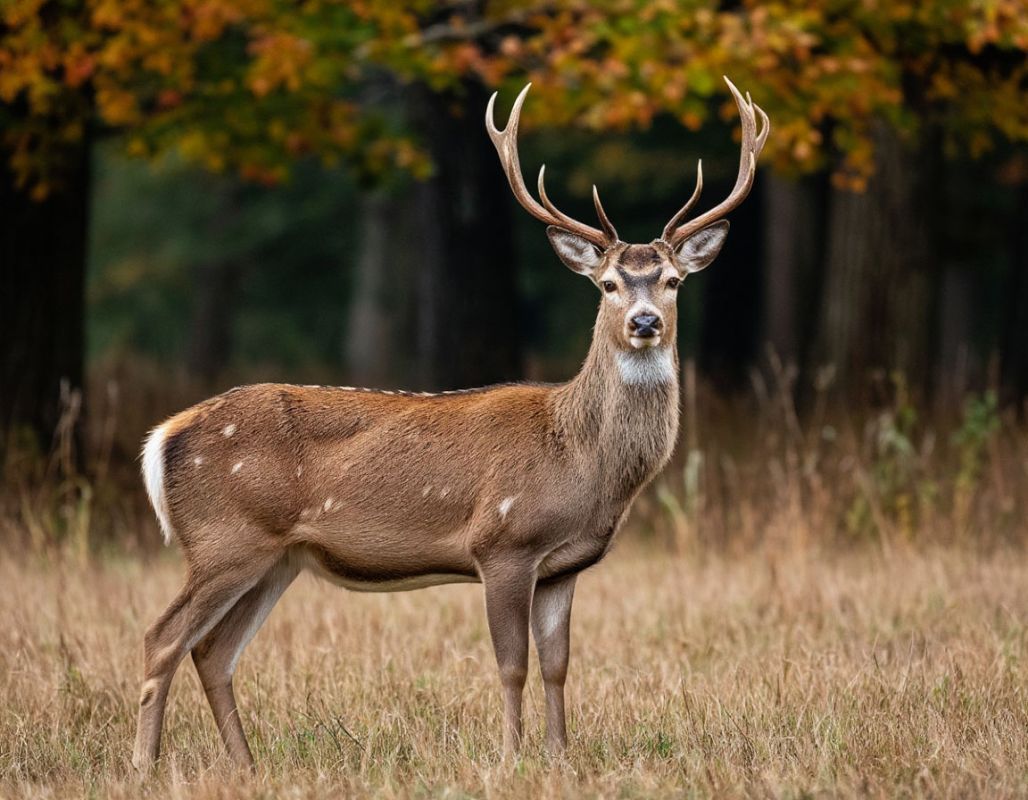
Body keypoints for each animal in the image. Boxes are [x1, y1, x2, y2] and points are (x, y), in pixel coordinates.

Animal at [132, 76, 768, 772]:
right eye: (606, 285)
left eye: (674, 281)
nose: (645, 321)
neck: (580, 459)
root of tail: (162, 438)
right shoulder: (503, 542)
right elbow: (512, 665)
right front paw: (512, 759)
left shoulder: (563, 567)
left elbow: (558, 666)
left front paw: (560, 757)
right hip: (225, 538)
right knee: (163, 637)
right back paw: (144, 764)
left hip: (276, 558)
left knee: (212, 651)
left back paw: (246, 766)